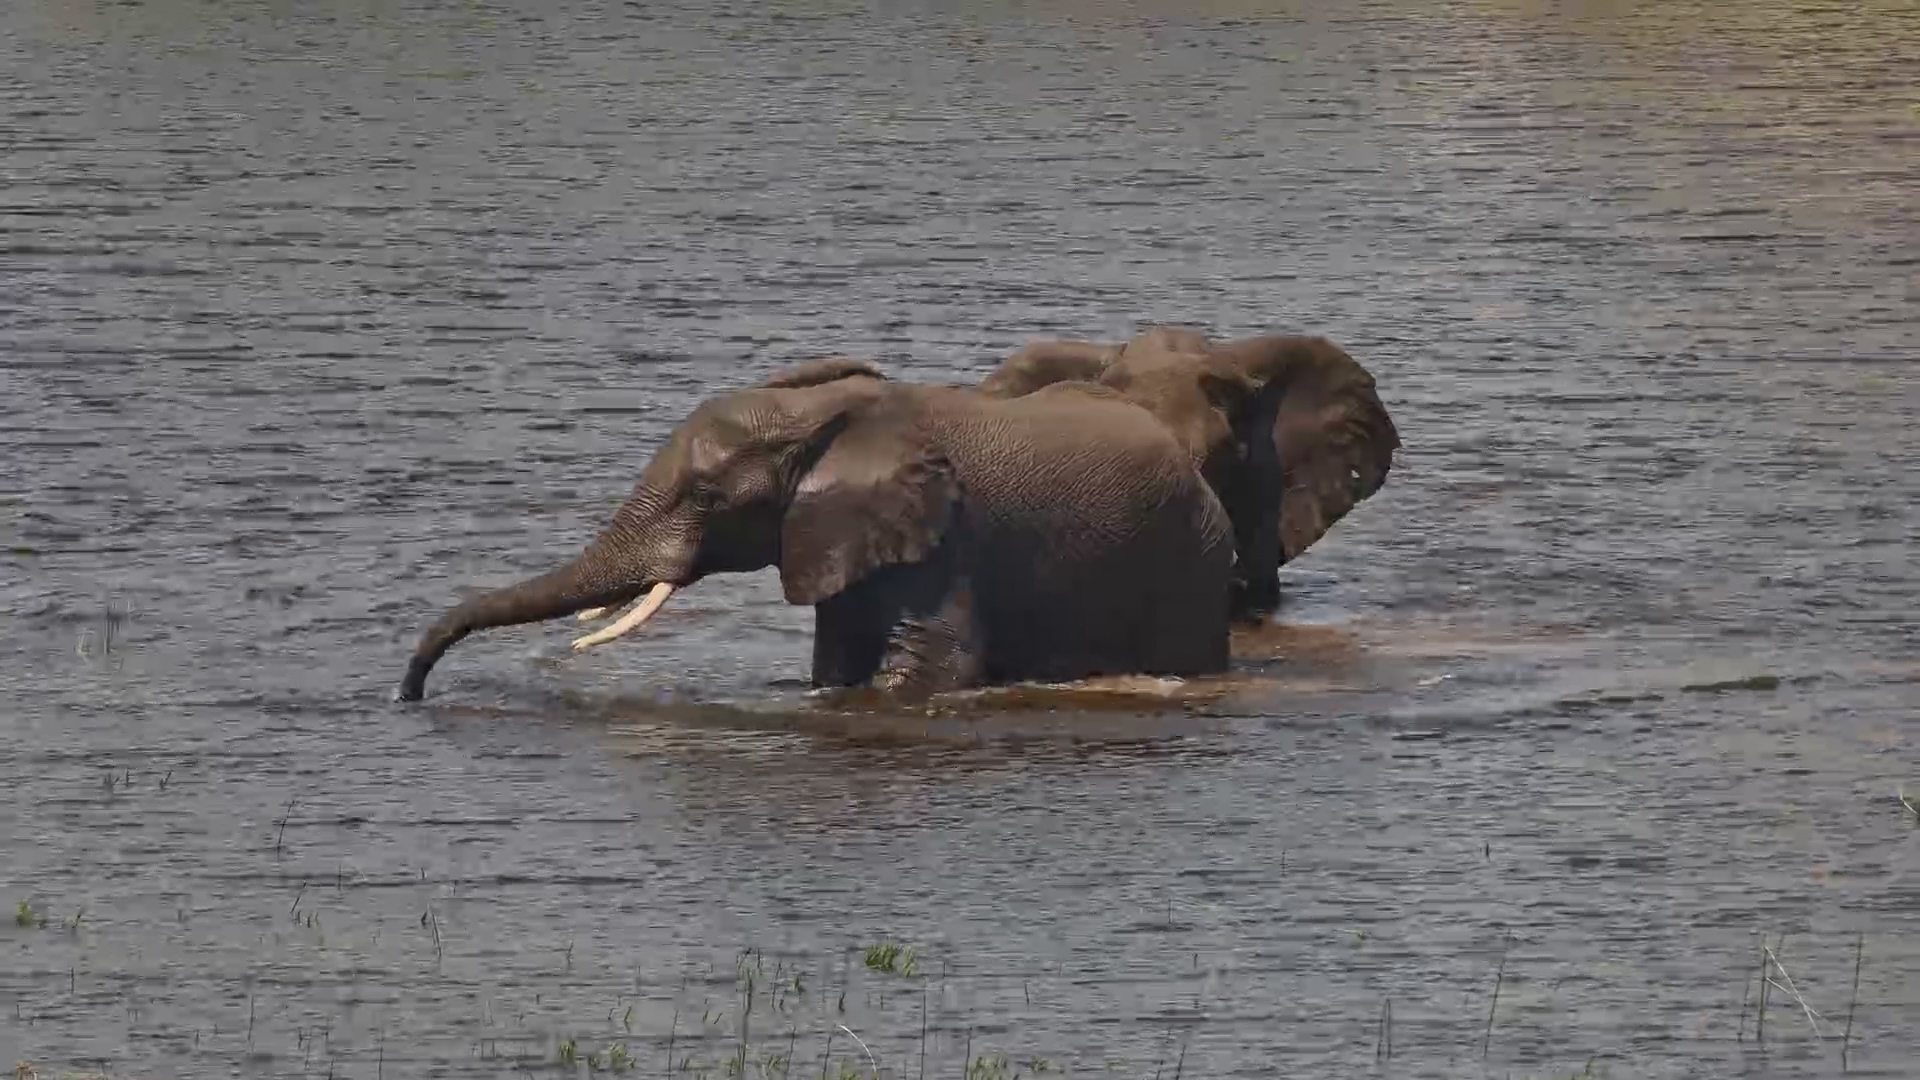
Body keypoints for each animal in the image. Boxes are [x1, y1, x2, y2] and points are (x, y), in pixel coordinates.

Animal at [395, 356, 1239, 703]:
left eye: (707, 494)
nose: (410, 694)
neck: (817, 416)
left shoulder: (952, 540)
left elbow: (933, 670)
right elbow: (835, 662)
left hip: (1188, 560)